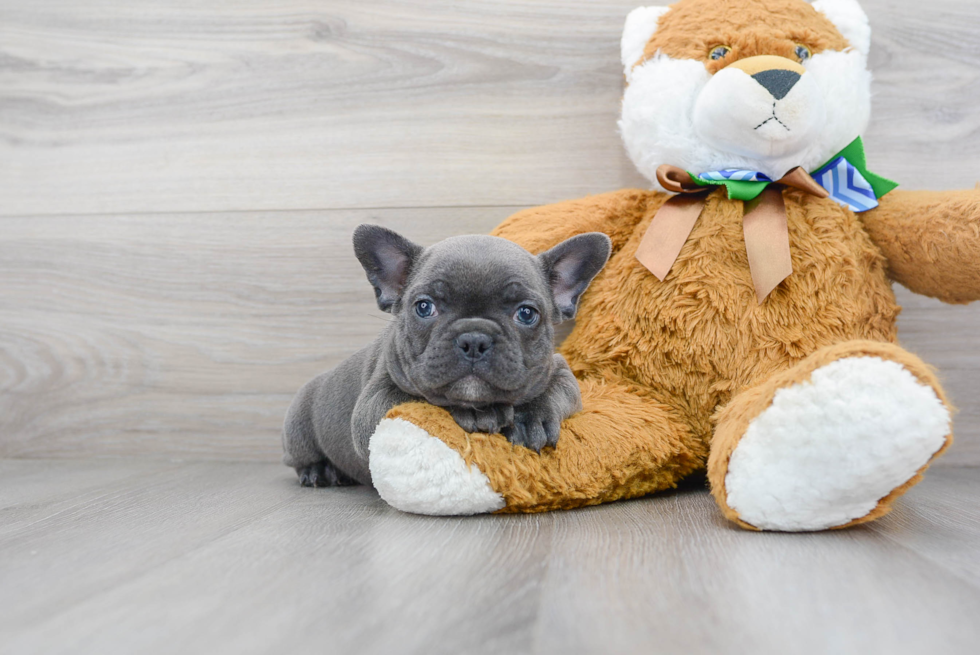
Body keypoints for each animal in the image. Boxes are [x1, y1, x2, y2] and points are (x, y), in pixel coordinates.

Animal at [280, 226, 608, 486]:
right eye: (424, 307)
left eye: (526, 313)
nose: (474, 339)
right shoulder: (373, 404)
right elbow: (421, 400)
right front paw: (477, 412)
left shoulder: (561, 372)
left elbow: (553, 392)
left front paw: (529, 419)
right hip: (298, 430)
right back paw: (319, 471)